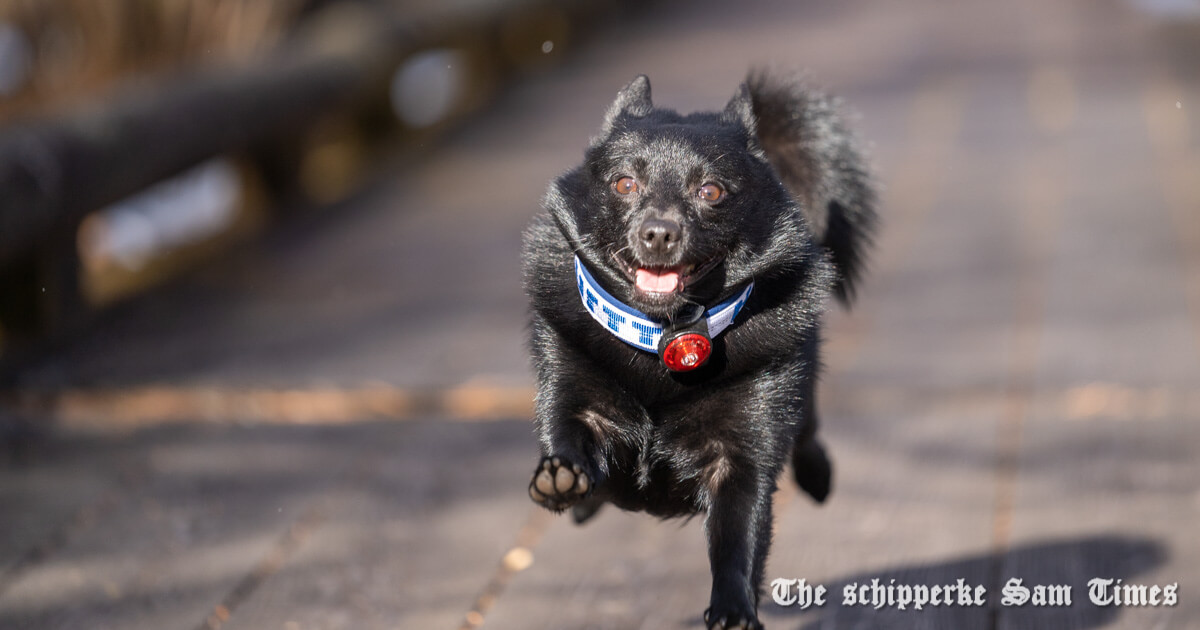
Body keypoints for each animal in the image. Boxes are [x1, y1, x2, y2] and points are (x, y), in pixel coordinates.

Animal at [520, 71, 878, 624]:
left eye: (710, 190)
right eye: (625, 183)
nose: (659, 233)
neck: (660, 339)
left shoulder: (741, 460)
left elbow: (738, 541)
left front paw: (733, 608)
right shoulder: (574, 393)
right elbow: (568, 436)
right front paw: (562, 479)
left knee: (808, 434)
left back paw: (818, 475)